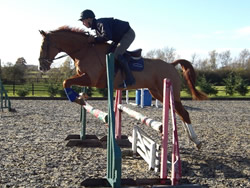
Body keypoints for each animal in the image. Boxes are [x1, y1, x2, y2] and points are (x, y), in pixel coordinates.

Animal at [38, 25, 207, 148]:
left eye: (43, 46)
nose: (41, 67)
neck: (84, 51)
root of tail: (171, 64)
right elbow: (68, 82)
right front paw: (81, 97)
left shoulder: (91, 79)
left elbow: (65, 82)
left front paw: (77, 98)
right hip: (158, 93)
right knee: (178, 112)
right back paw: (191, 139)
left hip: (168, 91)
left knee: (184, 113)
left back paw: (196, 141)